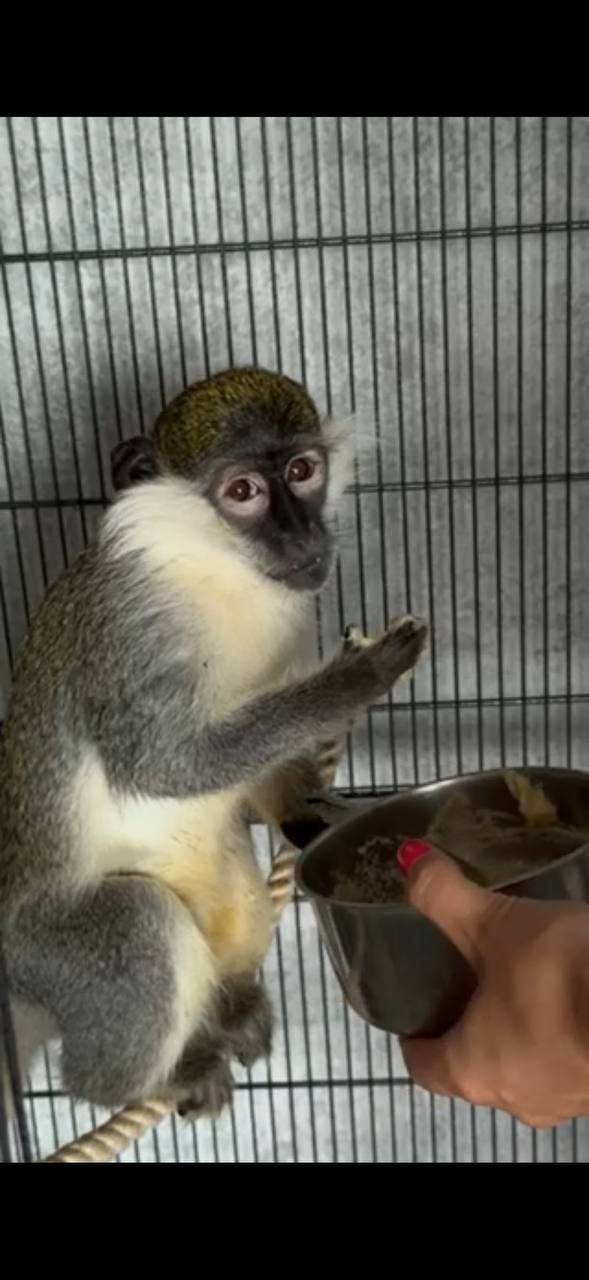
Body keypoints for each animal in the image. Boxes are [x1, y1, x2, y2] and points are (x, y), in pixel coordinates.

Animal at [0, 366, 427, 1119]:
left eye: (301, 471)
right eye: (243, 492)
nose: (300, 534)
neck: (214, 569)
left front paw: (307, 812)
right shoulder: (131, 628)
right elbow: (159, 764)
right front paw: (357, 679)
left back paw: (230, 1009)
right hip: (39, 956)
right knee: (135, 923)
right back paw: (144, 1082)